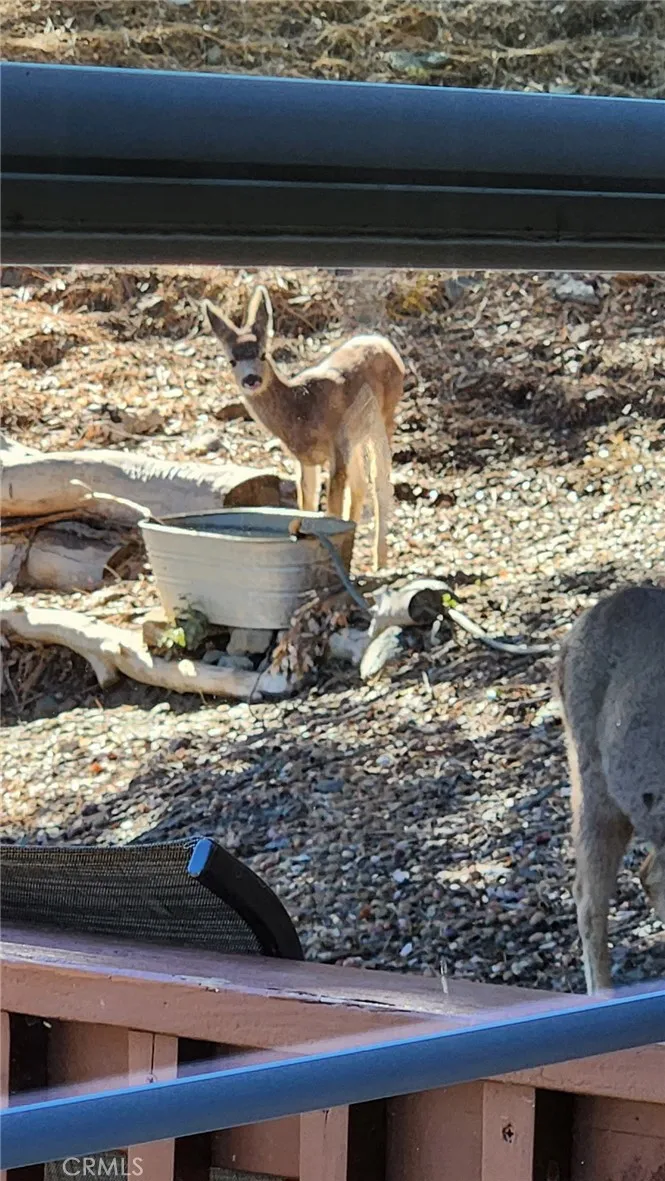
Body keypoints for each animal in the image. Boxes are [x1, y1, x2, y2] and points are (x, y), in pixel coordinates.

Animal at [203, 286, 405, 571]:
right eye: (232, 360)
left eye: (263, 353)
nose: (251, 379)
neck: (301, 408)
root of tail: (385, 344)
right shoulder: (306, 459)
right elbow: (307, 503)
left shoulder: (335, 446)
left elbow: (332, 509)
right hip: (355, 437)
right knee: (359, 483)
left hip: (384, 418)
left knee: (380, 483)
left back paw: (380, 561)